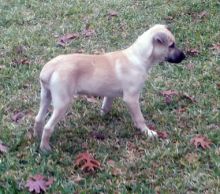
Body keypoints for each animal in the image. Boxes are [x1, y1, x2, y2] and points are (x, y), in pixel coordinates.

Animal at [34, 23, 186, 152]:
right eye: (171, 45)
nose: (184, 56)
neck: (138, 56)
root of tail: (49, 68)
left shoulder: (110, 94)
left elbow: (106, 106)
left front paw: (103, 117)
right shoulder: (131, 98)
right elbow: (139, 118)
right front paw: (147, 132)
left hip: (45, 96)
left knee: (38, 119)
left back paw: (36, 137)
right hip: (62, 103)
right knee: (48, 127)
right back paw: (45, 148)